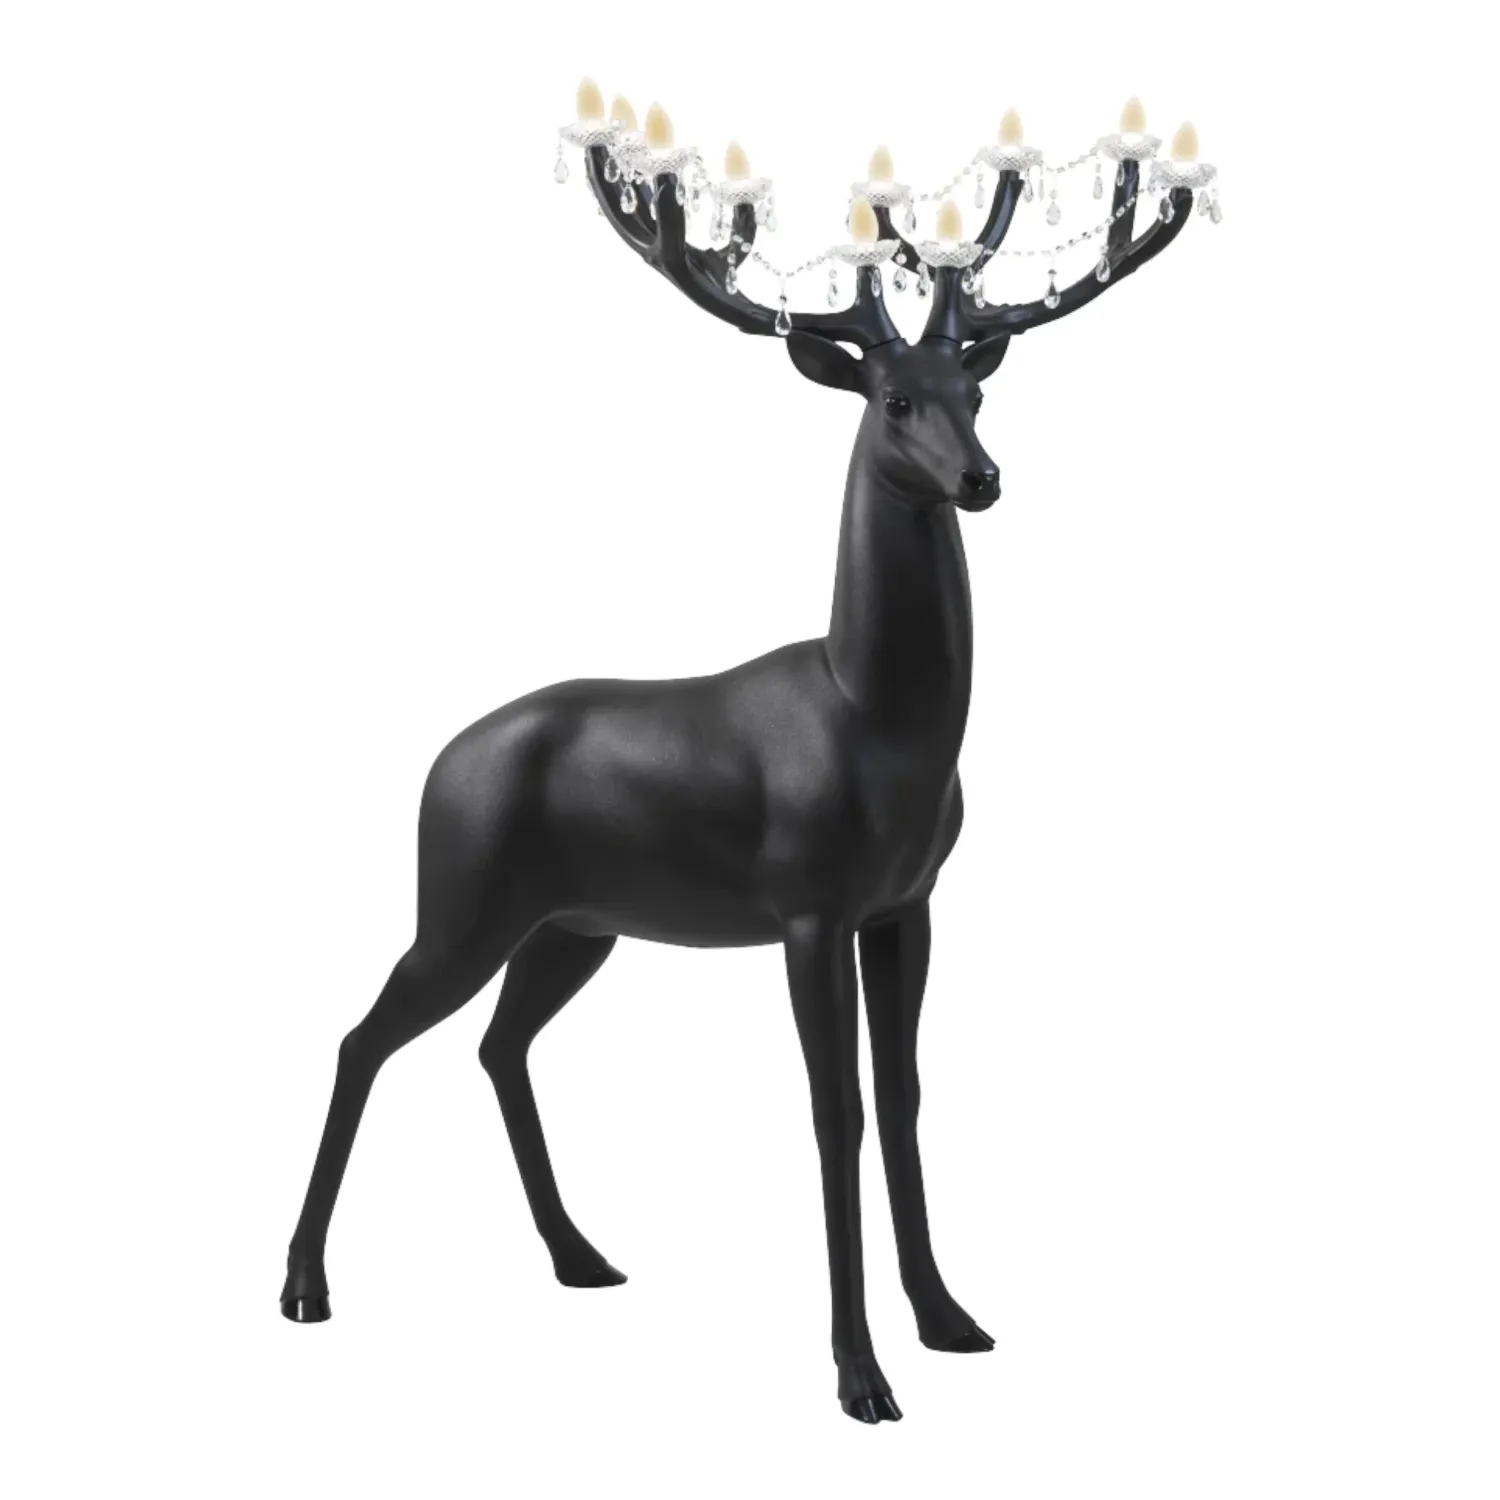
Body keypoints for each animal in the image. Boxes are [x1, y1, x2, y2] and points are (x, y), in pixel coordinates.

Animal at [280, 131, 1193, 1423]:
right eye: (894, 401)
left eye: (977, 391)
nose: (982, 478)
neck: (882, 722)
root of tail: (438, 763)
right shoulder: (808, 905)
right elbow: (834, 1109)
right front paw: (860, 1375)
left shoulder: (907, 904)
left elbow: (905, 1095)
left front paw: (949, 1320)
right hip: (459, 903)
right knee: (363, 1038)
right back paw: (305, 1285)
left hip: (575, 925)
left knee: (499, 1046)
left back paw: (581, 1255)